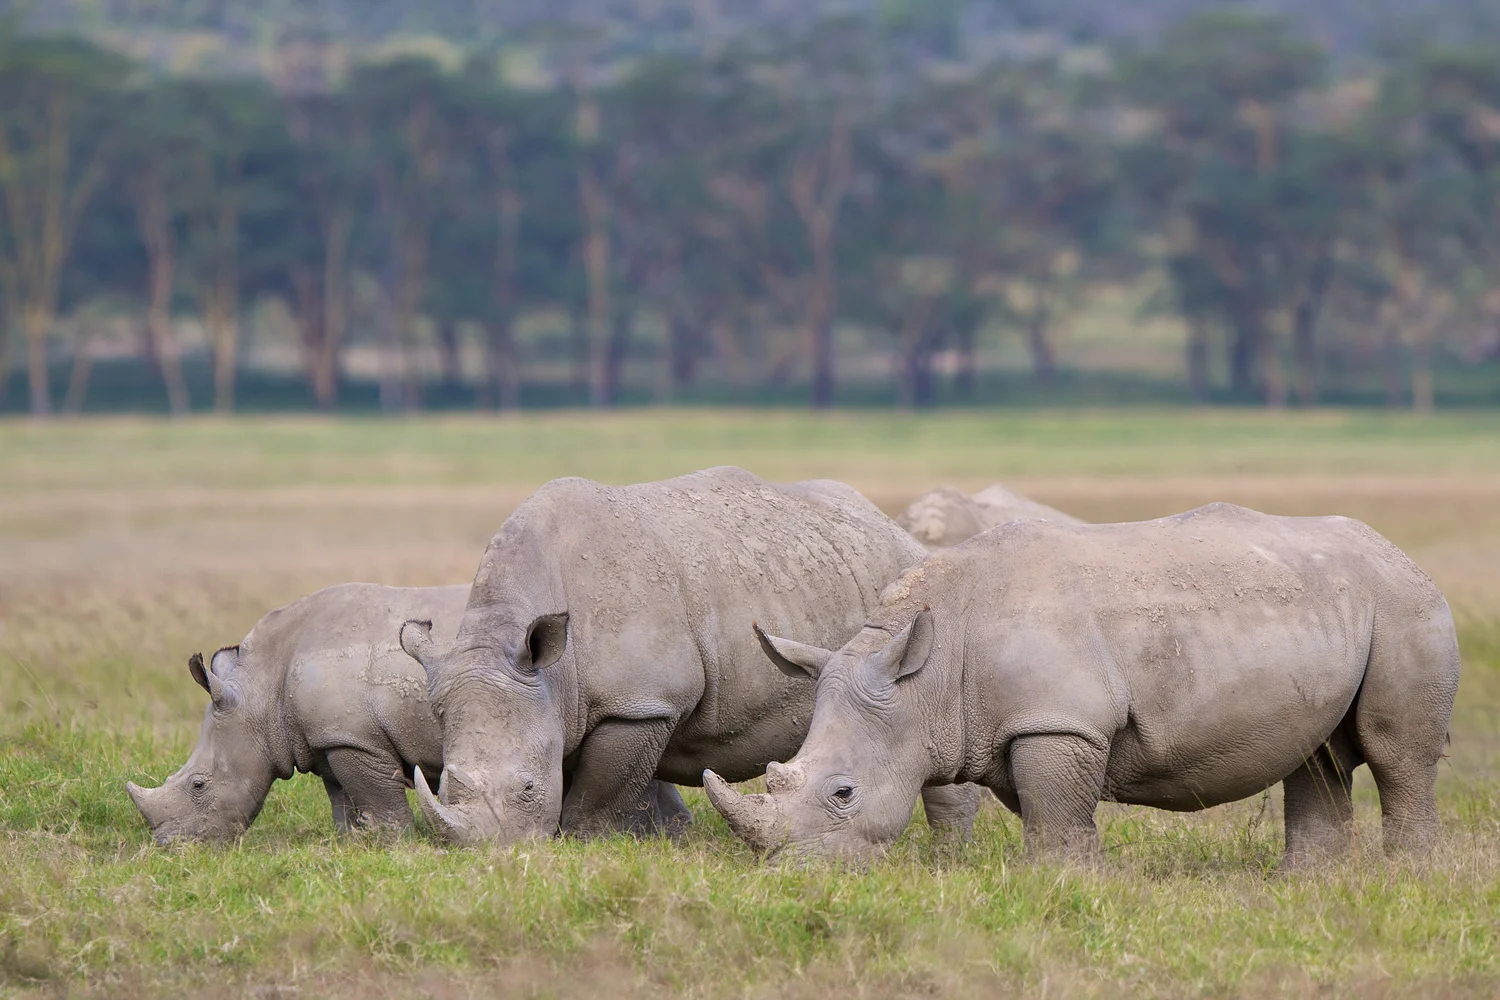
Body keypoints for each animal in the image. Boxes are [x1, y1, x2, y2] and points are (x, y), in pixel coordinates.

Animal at [126, 582, 692, 844]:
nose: (169, 845)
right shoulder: (329, 737)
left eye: (199, 785)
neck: (261, 692)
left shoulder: (354, 738)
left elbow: (373, 794)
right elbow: (341, 796)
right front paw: (353, 843)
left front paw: (391, 844)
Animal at [398, 466, 981, 845]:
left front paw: (591, 848)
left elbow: (597, 799)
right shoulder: (581, 703)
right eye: (443, 783)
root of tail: (892, 526)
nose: (491, 854)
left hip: (909, 602)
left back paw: (947, 856)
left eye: (526, 788)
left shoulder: (640, 704)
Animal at [705, 503, 1461, 868]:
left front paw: (1056, 886)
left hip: (1405, 605)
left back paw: (1407, 879)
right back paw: (1305, 887)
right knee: (1316, 757)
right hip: (1333, 603)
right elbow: (1055, 815)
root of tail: (1398, 552)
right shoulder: (1021, 724)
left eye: (843, 794)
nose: (793, 876)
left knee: (1397, 755)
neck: (928, 670)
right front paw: (1076, 883)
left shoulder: (1057, 720)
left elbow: (1055, 815)